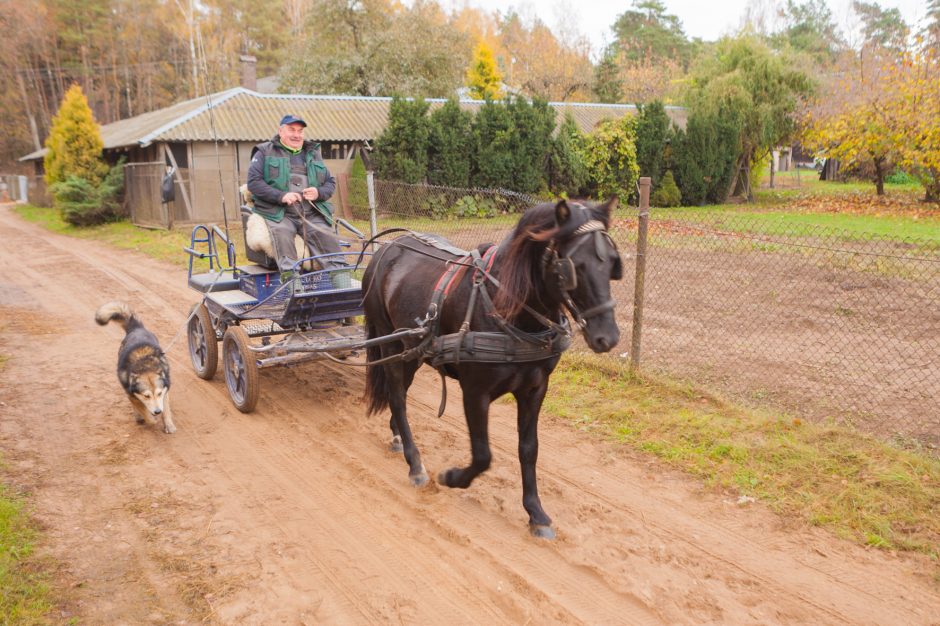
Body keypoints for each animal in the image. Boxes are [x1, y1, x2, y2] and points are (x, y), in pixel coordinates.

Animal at [95, 302, 176, 432]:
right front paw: (150, 419)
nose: (157, 411)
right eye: (146, 396)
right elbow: (144, 411)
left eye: (158, 394)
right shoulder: (131, 393)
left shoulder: (165, 388)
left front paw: (169, 425)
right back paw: (139, 416)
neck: (145, 365)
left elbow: (166, 409)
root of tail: (136, 328)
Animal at [364, 197, 620, 532]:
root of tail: (386, 248)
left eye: (613, 263)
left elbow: (529, 449)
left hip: (412, 351)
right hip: (390, 342)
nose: (608, 337)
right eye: (574, 266)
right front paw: (453, 477)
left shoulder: (535, 389)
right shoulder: (475, 392)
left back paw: (397, 435)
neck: (504, 306)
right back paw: (414, 462)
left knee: (401, 395)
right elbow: (483, 454)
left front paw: (535, 512)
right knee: (396, 397)